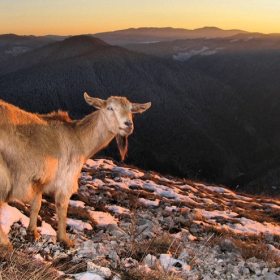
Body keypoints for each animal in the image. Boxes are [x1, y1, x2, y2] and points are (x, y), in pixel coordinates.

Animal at [0, 92, 151, 247]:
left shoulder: (40, 179)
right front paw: (64, 239)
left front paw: (33, 233)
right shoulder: (66, 179)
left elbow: (36, 205)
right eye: (110, 108)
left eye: (131, 110)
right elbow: (62, 207)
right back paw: (6, 245)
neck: (78, 138)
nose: (128, 125)